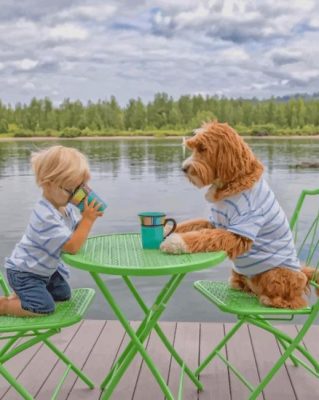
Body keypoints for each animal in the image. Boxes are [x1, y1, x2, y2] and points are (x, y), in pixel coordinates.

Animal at [162, 122, 319, 310]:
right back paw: (240, 284)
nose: (184, 168)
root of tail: (303, 273)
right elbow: (194, 225)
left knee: (295, 301)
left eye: (203, 148)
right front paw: (167, 229)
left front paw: (175, 242)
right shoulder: (215, 222)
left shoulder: (240, 231)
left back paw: (270, 300)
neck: (233, 183)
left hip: (275, 273)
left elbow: (206, 236)